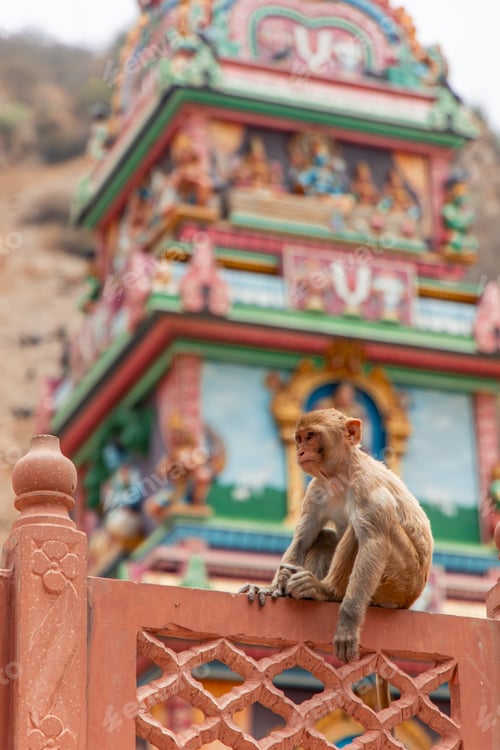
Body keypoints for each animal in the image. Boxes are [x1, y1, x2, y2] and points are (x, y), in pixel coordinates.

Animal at [240, 408, 433, 665]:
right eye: (299, 438)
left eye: (311, 436)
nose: (300, 451)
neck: (341, 474)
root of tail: (410, 600)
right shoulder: (316, 488)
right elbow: (302, 539)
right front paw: (272, 588)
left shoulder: (368, 488)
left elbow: (373, 543)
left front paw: (347, 626)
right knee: (324, 537)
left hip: (400, 583)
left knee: (364, 531)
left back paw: (326, 591)